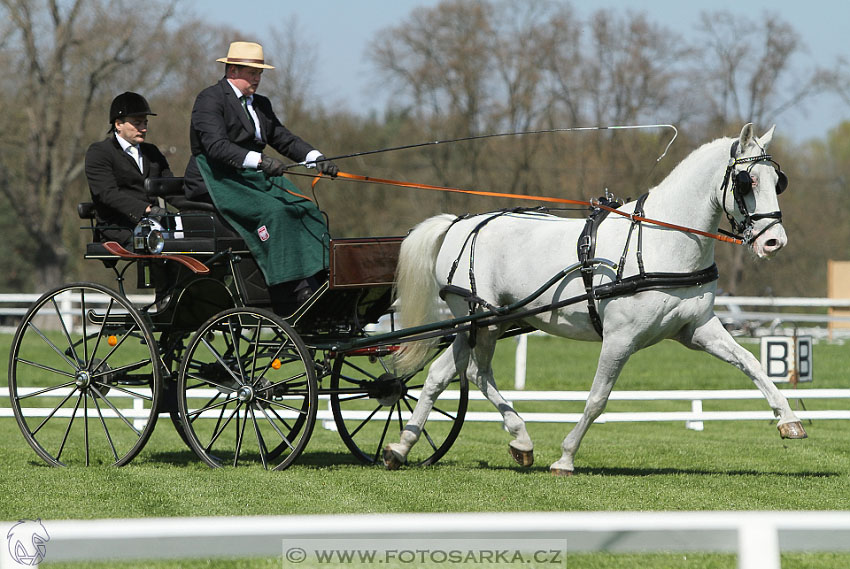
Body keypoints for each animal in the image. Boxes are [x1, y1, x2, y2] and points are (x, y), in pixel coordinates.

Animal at [382, 124, 800, 474]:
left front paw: (788, 420)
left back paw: (428, 446)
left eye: (777, 182)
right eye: (747, 181)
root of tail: (461, 222)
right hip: (476, 320)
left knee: (454, 373)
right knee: (463, 373)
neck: (662, 242)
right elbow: (598, 399)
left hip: (487, 322)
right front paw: (566, 458)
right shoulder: (620, 338)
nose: (774, 242)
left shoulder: (698, 329)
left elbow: (751, 363)